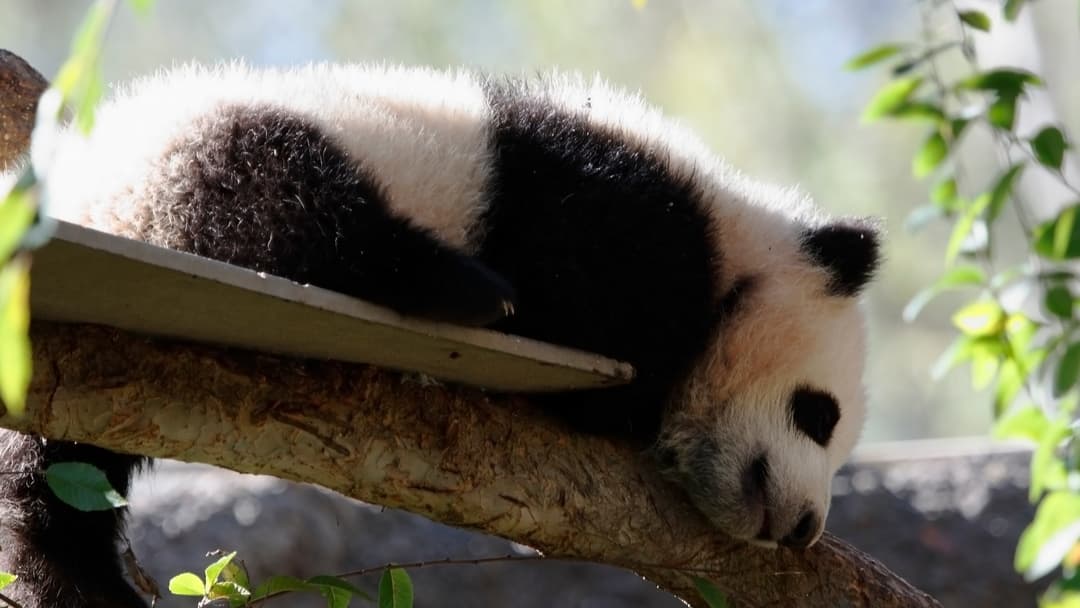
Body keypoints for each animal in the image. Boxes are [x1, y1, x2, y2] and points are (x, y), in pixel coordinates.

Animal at [0, 62, 879, 607]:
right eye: (820, 414)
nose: (804, 526)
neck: (738, 238)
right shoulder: (613, 209)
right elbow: (591, 299)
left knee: (55, 476)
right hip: (189, 162)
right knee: (285, 202)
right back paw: (461, 289)